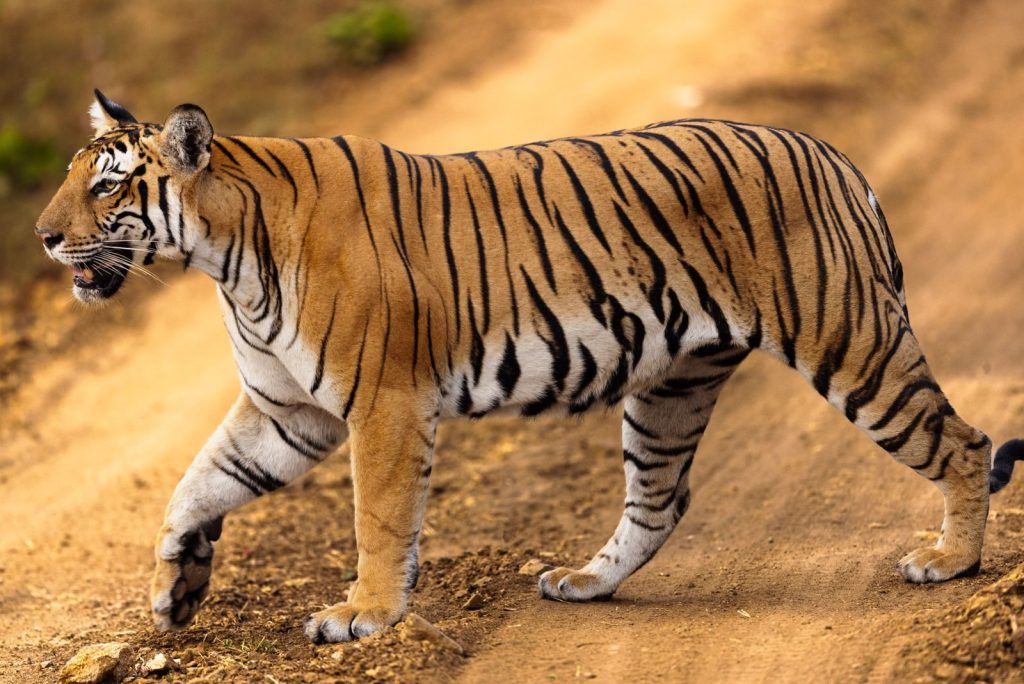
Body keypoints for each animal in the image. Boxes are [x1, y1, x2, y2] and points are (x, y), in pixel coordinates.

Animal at [36, 90, 1024, 644]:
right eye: (74, 178)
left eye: (108, 185)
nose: (43, 237)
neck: (225, 259)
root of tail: (829, 152)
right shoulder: (287, 411)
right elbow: (195, 485)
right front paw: (174, 591)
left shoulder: (381, 403)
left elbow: (378, 519)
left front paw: (363, 616)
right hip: (672, 386)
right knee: (660, 502)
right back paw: (585, 583)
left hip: (851, 343)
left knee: (964, 442)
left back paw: (950, 561)